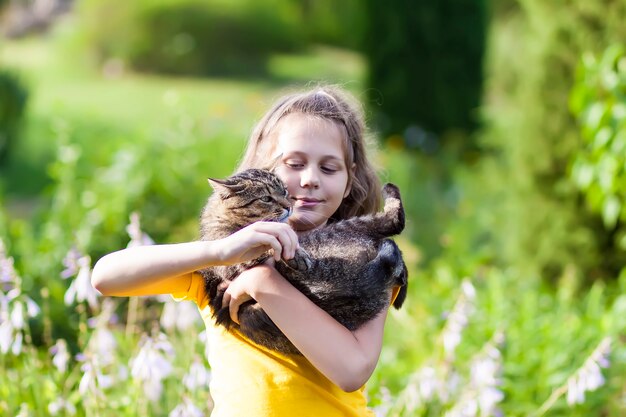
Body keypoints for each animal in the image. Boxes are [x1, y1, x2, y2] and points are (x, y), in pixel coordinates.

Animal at [197, 167, 408, 352]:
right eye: (266, 198)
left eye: (284, 191)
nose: (289, 206)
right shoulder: (238, 259)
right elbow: (272, 244)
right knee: (393, 222)